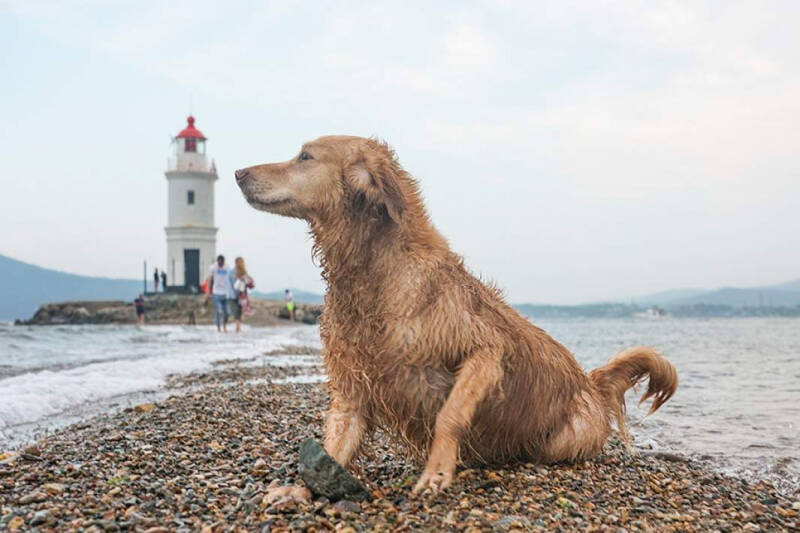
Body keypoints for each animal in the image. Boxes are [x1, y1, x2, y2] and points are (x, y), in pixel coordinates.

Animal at [234, 135, 680, 492]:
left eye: (304, 156)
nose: (238, 172)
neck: (376, 271)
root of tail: (592, 383)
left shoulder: (485, 350)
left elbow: (450, 413)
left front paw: (436, 469)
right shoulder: (353, 385)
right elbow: (335, 443)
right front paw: (299, 492)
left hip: (565, 438)